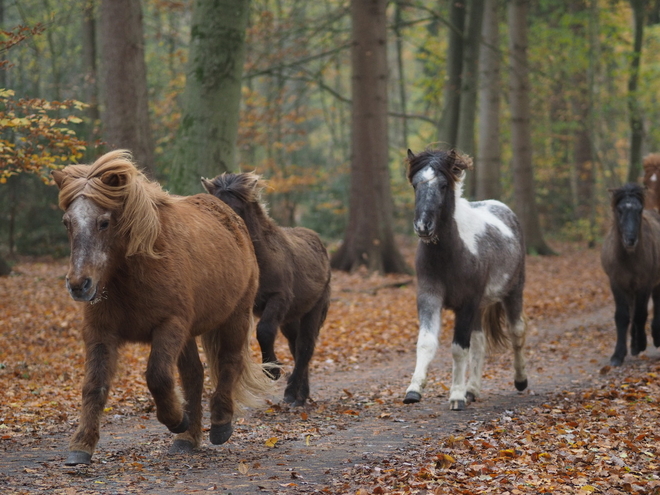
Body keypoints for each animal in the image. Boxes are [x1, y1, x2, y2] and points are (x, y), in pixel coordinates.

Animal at [52, 150, 268, 464]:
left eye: (104, 222)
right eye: (67, 223)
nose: (79, 285)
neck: (134, 271)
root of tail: (231, 217)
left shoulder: (169, 326)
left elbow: (157, 376)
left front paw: (176, 420)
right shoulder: (100, 332)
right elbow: (94, 386)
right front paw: (81, 445)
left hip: (234, 318)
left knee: (229, 363)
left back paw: (219, 424)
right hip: (190, 333)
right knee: (194, 375)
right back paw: (187, 439)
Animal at [201, 173, 330, 406]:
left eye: (237, 208)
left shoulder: (278, 298)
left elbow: (265, 330)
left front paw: (272, 370)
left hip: (313, 310)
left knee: (305, 347)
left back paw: (292, 393)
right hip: (290, 318)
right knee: (296, 346)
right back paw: (300, 394)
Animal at [400, 149, 528, 412]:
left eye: (443, 185)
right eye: (416, 184)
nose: (423, 226)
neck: (450, 254)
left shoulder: (467, 303)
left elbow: (459, 349)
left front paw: (456, 396)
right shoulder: (429, 298)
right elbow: (426, 343)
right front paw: (414, 390)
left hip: (513, 292)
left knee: (516, 332)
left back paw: (520, 380)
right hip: (480, 306)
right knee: (480, 342)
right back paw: (473, 389)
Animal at [600, 184, 660, 366]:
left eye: (639, 210)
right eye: (619, 210)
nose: (631, 240)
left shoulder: (644, 284)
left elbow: (641, 314)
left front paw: (641, 343)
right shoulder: (617, 283)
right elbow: (623, 316)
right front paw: (618, 355)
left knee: (655, 303)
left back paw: (654, 337)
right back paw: (633, 345)